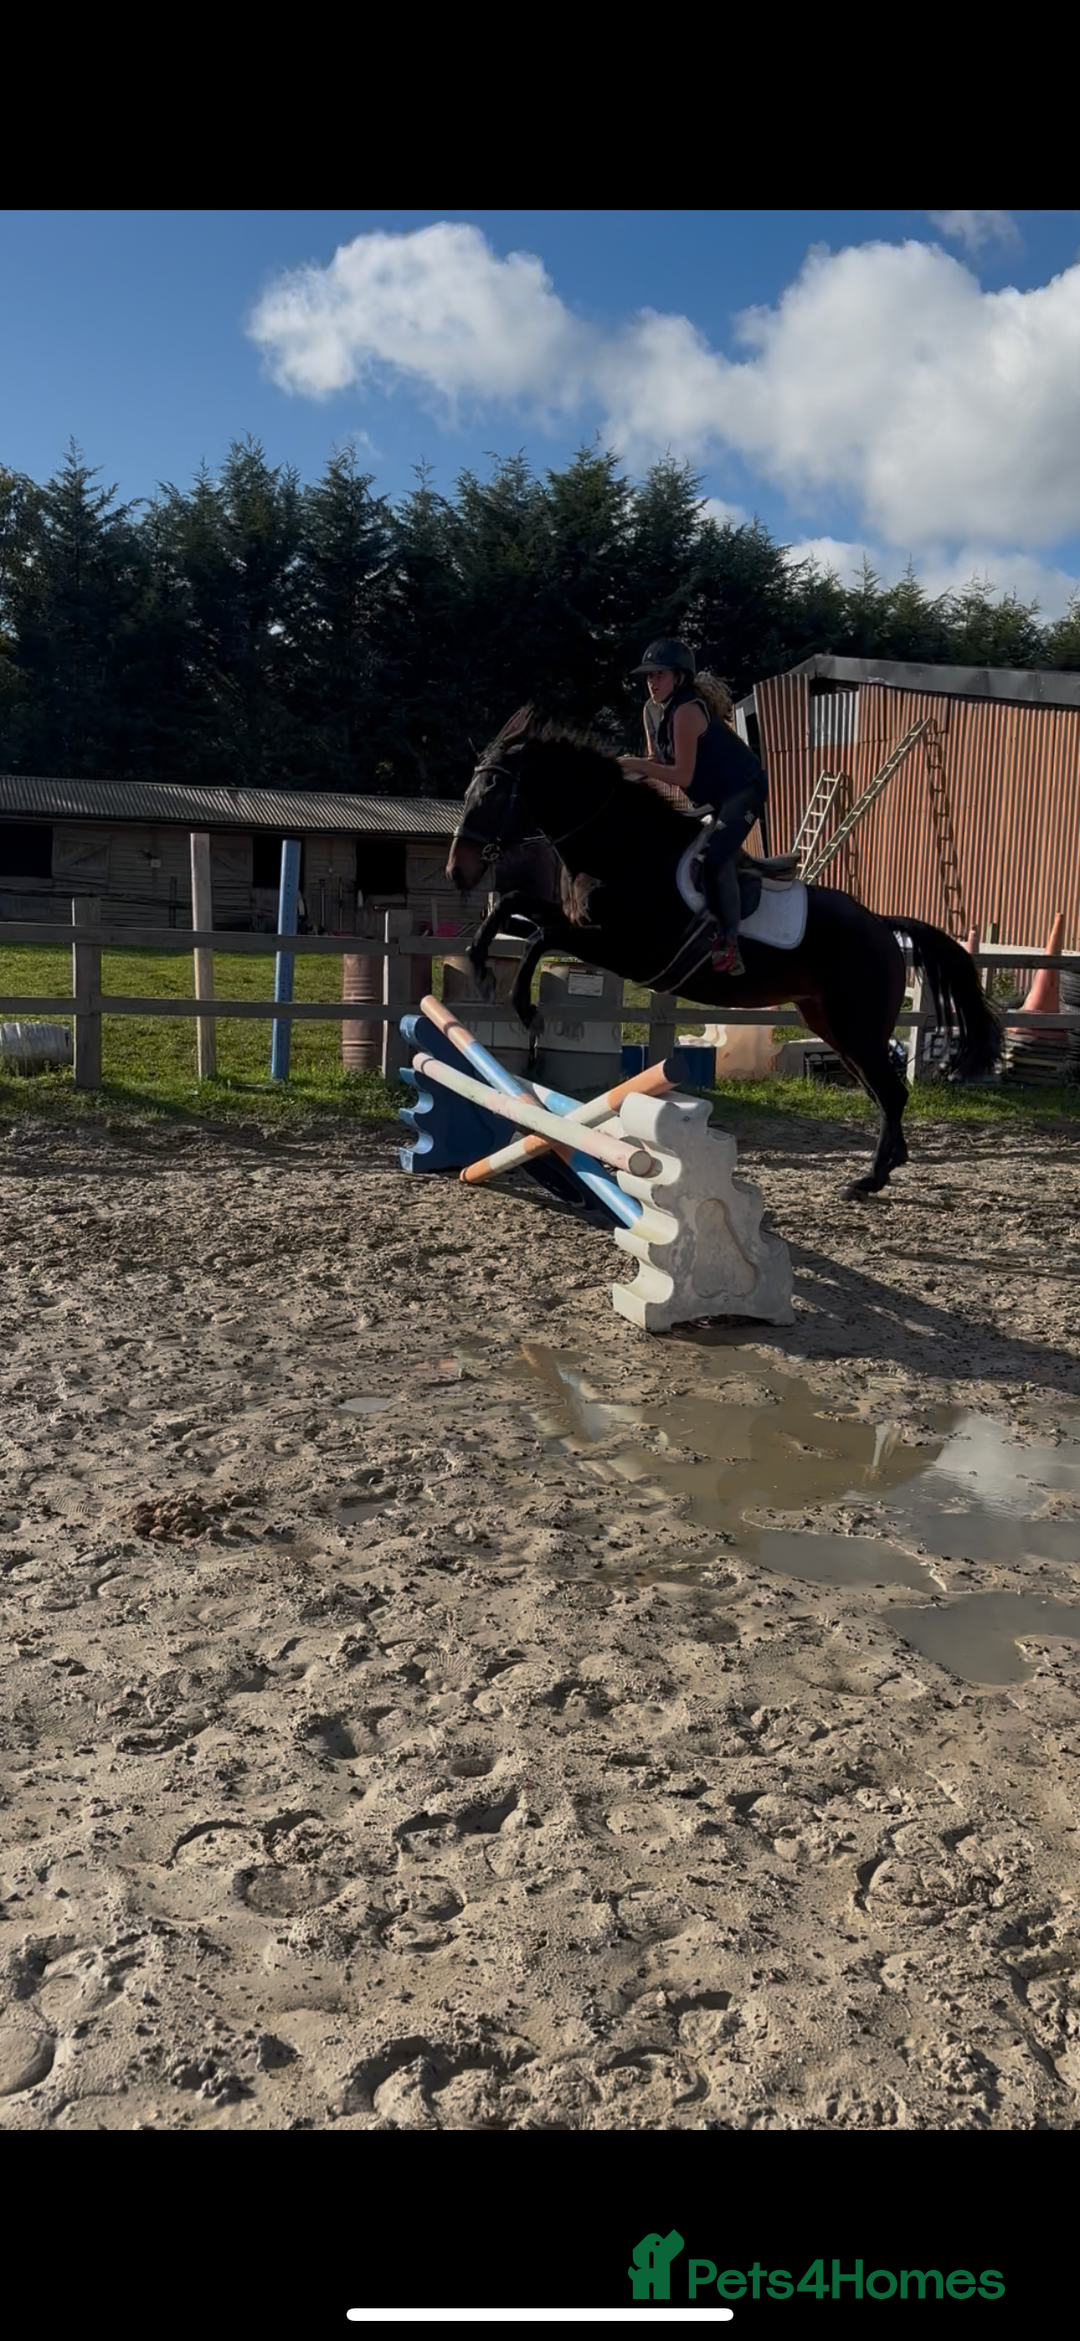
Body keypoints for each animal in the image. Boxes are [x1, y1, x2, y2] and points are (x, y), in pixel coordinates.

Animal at [445, 716, 1002, 1201]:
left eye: (492, 795)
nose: (458, 872)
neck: (622, 847)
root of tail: (882, 925)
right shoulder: (580, 924)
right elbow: (516, 907)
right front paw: (479, 966)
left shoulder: (618, 947)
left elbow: (538, 936)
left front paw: (524, 1008)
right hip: (831, 1024)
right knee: (884, 1092)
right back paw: (881, 1172)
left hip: (856, 1025)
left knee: (891, 1093)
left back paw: (869, 1179)